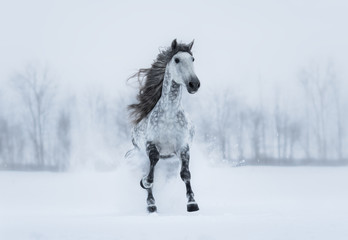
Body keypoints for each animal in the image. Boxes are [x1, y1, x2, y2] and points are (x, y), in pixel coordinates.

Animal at [127, 39, 201, 214]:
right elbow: (151, 172)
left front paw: (192, 203)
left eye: (193, 59)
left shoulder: (183, 147)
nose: (194, 84)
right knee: (149, 172)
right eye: (177, 59)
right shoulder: (150, 145)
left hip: (170, 164)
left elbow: (186, 174)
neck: (169, 115)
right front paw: (144, 183)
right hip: (142, 157)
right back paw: (151, 205)